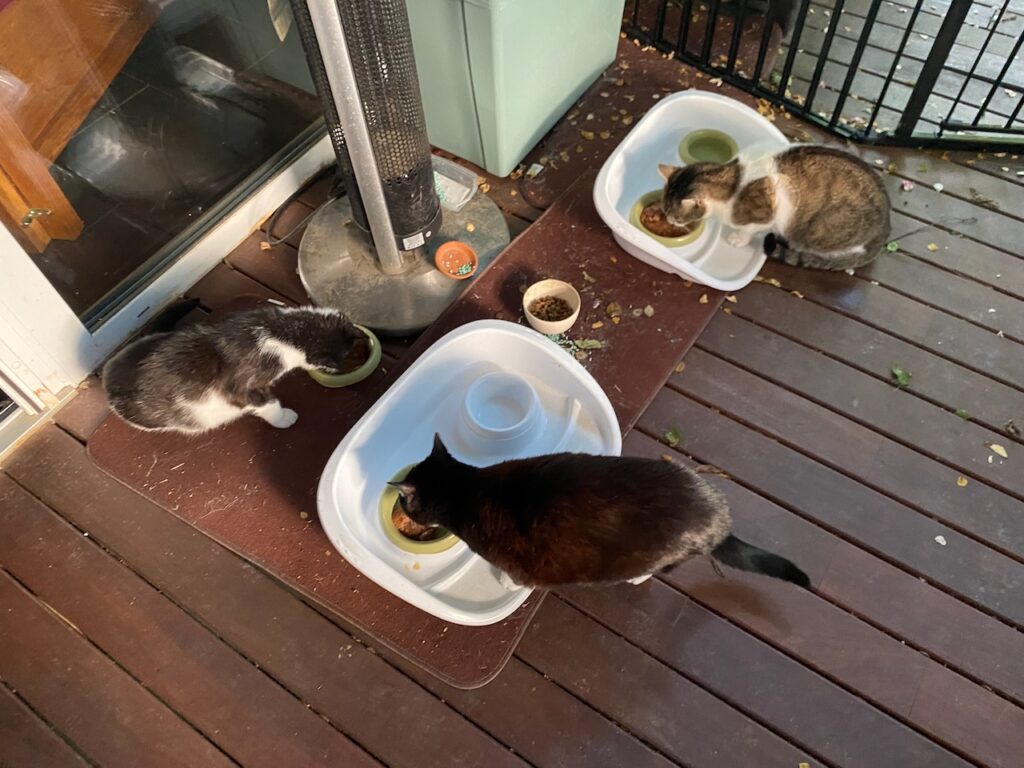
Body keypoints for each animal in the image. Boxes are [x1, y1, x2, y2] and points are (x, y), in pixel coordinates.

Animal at [102, 304, 361, 434]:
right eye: (343, 357)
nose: (338, 369)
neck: (280, 330)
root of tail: (107, 377)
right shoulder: (242, 388)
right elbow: (268, 404)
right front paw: (284, 418)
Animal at [392, 435, 810, 590]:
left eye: (405, 501)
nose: (399, 500)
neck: (465, 488)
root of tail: (720, 517)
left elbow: (517, 579)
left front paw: (507, 585)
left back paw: (638, 577)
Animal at [658, 145, 891, 271]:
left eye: (676, 218)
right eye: (666, 212)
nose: (668, 220)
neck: (733, 179)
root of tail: (885, 227)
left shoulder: (769, 213)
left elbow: (748, 229)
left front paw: (738, 238)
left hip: (824, 228)